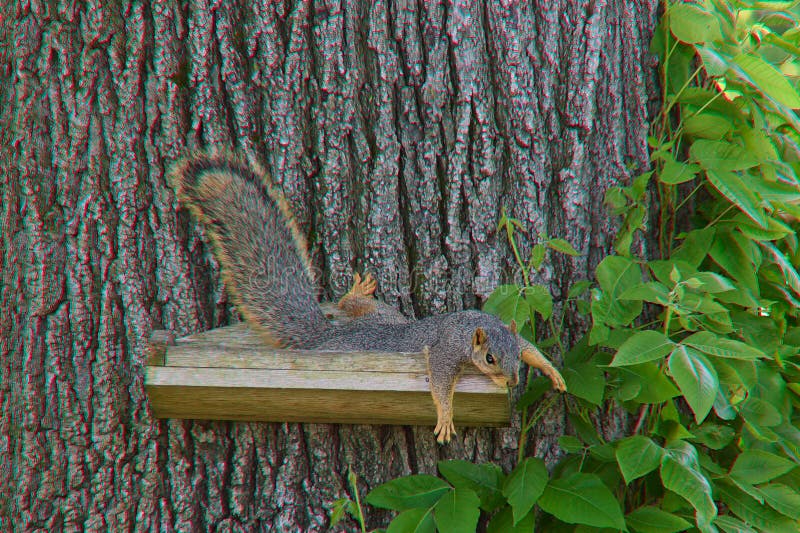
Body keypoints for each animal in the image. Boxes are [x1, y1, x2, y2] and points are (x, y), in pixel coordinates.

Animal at [171, 151, 564, 444]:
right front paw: (446, 416)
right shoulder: (447, 349)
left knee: (359, 307)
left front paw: (551, 370)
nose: (511, 382)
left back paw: (356, 294)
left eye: (514, 357)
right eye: (491, 358)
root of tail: (330, 336)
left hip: (384, 315)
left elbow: (531, 345)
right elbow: (439, 379)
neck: (475, 327)